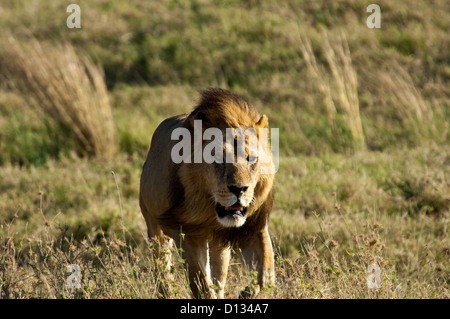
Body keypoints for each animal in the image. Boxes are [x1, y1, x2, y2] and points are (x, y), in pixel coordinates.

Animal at [139, 88, 276, 300]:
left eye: (251, 158)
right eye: (218, 158)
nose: (239, 189)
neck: (212, 214)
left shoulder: (253, 227)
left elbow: (267, 275)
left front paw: (246, 293)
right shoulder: (187, 232)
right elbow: (201, 284)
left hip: (220, 245)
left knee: (219, 276)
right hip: (154, 227)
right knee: (163, 270)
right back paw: (167, 291)